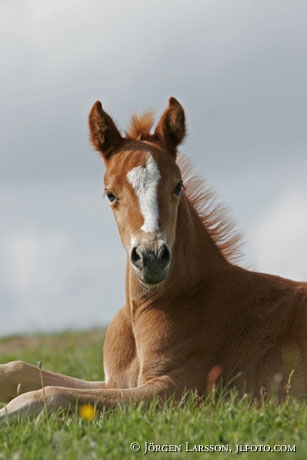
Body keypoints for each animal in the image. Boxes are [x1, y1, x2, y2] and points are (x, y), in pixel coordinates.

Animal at [0, 99, 307, 422]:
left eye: (178, 186)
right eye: (110, 194)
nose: (151, 258)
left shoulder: (175, 390)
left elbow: (52, 394)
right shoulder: (115, 382)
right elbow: (18, 370)